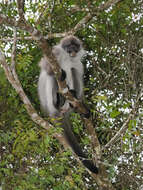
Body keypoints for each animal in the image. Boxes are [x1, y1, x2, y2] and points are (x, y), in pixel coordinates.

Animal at [37, 35, 98, 174]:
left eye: (75, 47)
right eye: (69, 47)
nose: (73, 51)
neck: (68, 57)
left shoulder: (79, 63)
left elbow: (77, 71)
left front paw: (85, 108)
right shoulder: (55, 52)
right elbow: (45, 66)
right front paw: (60, 73)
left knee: (73, 70)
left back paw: (74, 100)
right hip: (49, 102)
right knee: (51, 76)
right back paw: (58, 100)